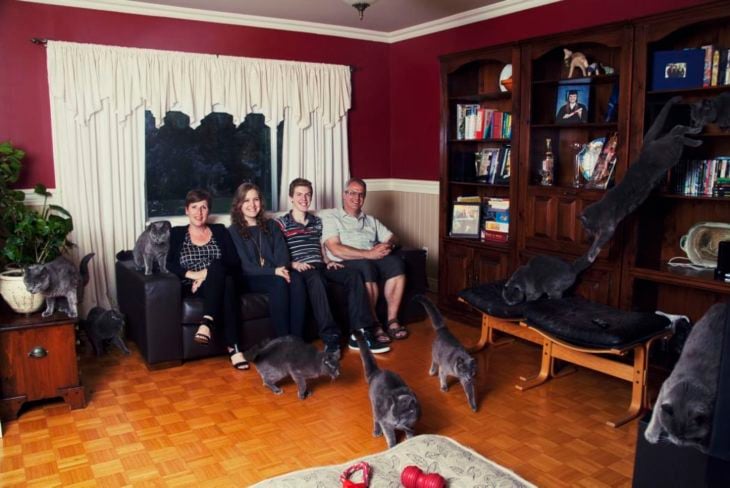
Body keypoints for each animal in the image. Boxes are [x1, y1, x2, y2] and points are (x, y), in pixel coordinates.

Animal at [644, 302, 724, 454]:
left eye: (686, 437)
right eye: (671, 432)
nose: (677, 443)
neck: (689, 388)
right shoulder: (665, 386)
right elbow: (656, 412)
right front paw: (651, 434)